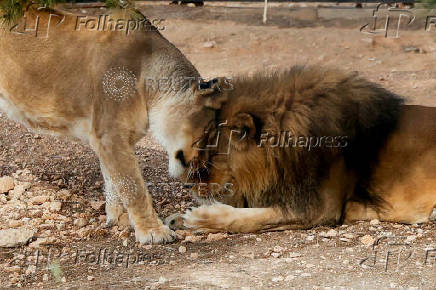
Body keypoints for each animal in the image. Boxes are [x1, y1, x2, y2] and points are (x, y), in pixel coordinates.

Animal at [0, 6, 218, 244]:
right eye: (207, 133)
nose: (203, 171)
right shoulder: (109, 135)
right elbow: (133, 186)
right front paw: (152, 231)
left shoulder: (109, 139)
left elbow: (114, 181)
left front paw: (119, 218)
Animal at [166, 66, 436, 233]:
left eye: (211, 155)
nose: (186, 185)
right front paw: (176, 219)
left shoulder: (321, 208)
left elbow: (253, 218)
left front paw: (199, 218)